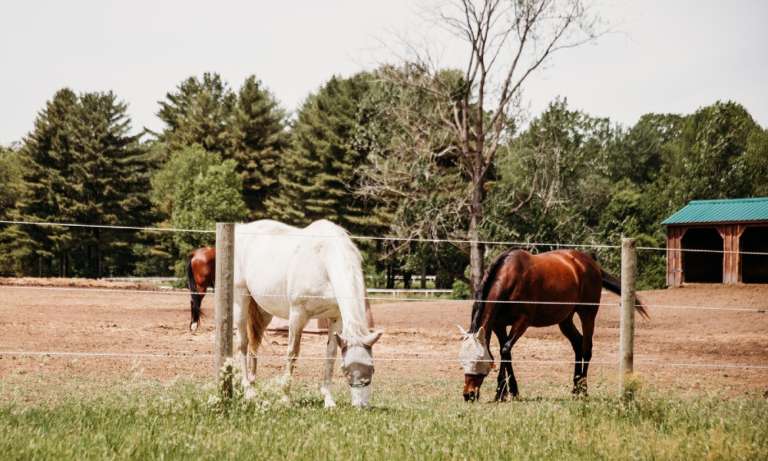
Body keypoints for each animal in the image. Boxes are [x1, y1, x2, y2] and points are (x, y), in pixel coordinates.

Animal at [231, 218, 380, 406]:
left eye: (372, 368)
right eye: (345, 370)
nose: (361, 405)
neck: (324, 259)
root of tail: (241, 229)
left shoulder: (336, 318)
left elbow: (330, 354)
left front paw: (328, 400)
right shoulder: (297, 315)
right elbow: (292, 352)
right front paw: (285, 398)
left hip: (264, 311)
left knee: (253, 344)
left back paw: (251, 384)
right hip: (240, 300)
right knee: (242, 343)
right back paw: (248, 391)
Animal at [462, 250, 648, 400]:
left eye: (477, 360)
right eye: (462, 360)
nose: (468, 395)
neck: (511, 278)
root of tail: (591, 263)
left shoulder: (522, 322)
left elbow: (505, 350)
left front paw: (510, 392)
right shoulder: (498, 325)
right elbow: (504, 352)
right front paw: (502, 392)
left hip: (587, 314)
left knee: (587, 347)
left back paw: (583, 391)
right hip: (565, 320)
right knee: (578, 344)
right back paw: (575, 388)